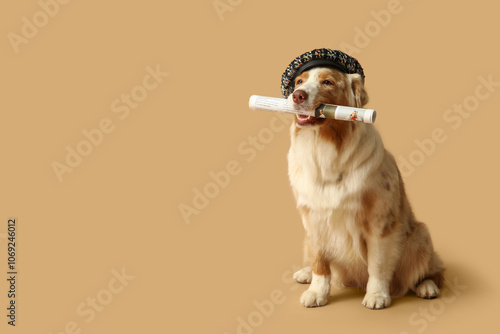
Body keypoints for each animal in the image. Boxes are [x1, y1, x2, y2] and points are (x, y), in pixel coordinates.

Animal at [288, 66, 444, 310]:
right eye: (299, 82)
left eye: (327, 82)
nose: (297, 95)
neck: (324, 149)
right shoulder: (312, 218)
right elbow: (319, 261)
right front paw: (316, 291)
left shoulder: (380, 221)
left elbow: (377, 263)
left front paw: (377, 295)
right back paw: (305, 273)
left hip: (420, 235)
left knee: (434, 270)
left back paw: (427, 287)